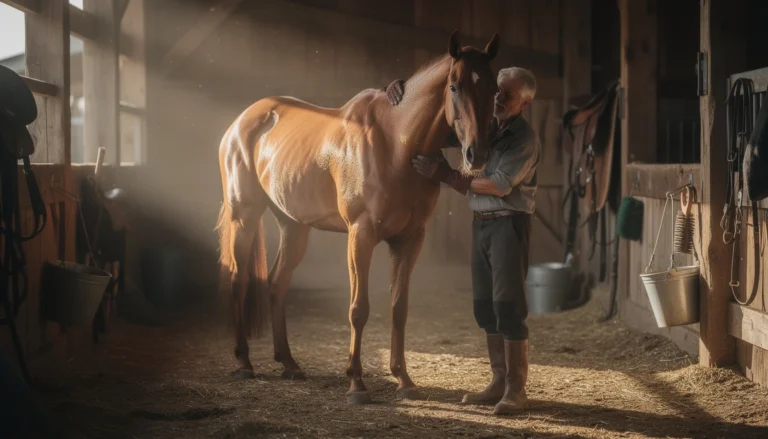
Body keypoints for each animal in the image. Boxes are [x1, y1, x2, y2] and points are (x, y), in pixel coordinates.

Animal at [216, 31, 500, 404]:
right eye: (454, 86)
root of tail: (241, 123)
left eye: (493, 87)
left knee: (277, 283)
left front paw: (404, 380)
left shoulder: (410, 239)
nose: (476, 154)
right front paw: (356, 383)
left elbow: (398, 308)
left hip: (293, 226)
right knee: (239, 280)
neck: (396, 144)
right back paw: (244, 362)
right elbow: (358, 308)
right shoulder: (360, 235)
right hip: (244, 216)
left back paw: (289, 363)